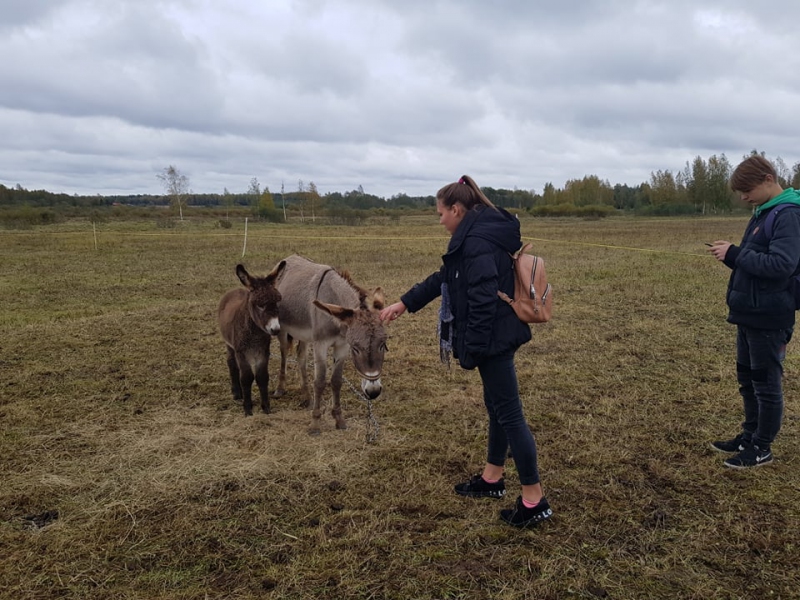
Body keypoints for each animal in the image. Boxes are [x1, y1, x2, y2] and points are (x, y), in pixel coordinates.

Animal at [217, 261, 285, 416]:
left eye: (278, 302)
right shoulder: (242, 352)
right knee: (231, 363)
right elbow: (247, 378)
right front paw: (248, 409)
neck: (255, 334)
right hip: (229, 344)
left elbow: (262, 377)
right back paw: (237, 393)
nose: (275, 329)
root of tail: (235, 290)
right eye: (260, 305)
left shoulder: (263, 352)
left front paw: (266, 407)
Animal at [272, 255, 387, 435]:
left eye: (383, 344)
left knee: (300, 356)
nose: (373, 392)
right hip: (282, 329)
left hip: (305, 334)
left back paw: (306, 396)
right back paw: (280, 388)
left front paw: (339, 420)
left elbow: (336, 380)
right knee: (284, 352)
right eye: (356, 348)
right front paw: (315, 424)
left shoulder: (341, 346)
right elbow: (319, 382)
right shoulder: (321, 345)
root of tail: (289, 258)